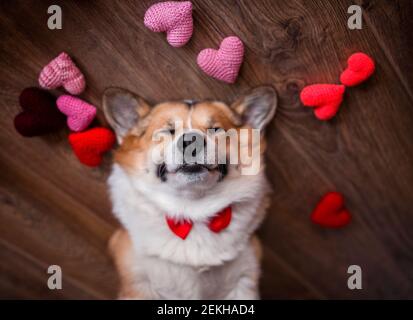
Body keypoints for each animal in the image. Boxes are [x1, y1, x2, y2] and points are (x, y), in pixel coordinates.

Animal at [103, 85, 276, 300]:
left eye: (215, 130)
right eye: (168, 131)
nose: (192, 140)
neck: (192, 210)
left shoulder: (244, 282)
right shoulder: (137, 284)